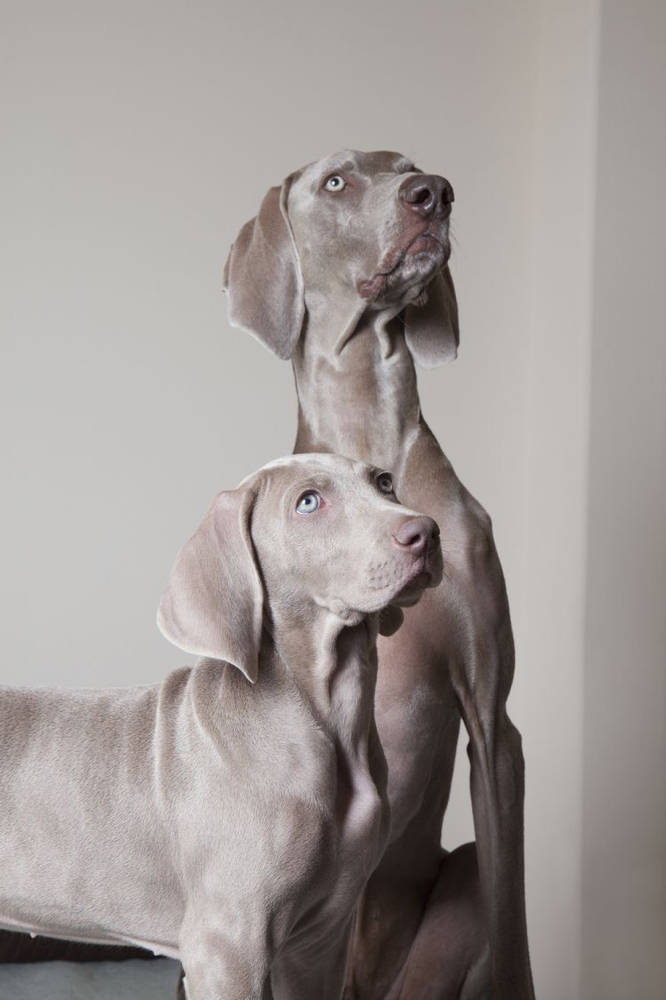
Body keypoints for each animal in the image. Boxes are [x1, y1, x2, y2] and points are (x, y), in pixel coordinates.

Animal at [0, 456, 444, 1000]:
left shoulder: (320, 944)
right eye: (308, 502)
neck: (329, 720)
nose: (426, 532)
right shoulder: (227, 946)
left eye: (384, 483)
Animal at [222, 150, 536, 1000]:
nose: (436, 194)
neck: (367, 420)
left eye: (410, 166)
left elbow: (514, 933)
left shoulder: (494, 723)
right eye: (337, 181)